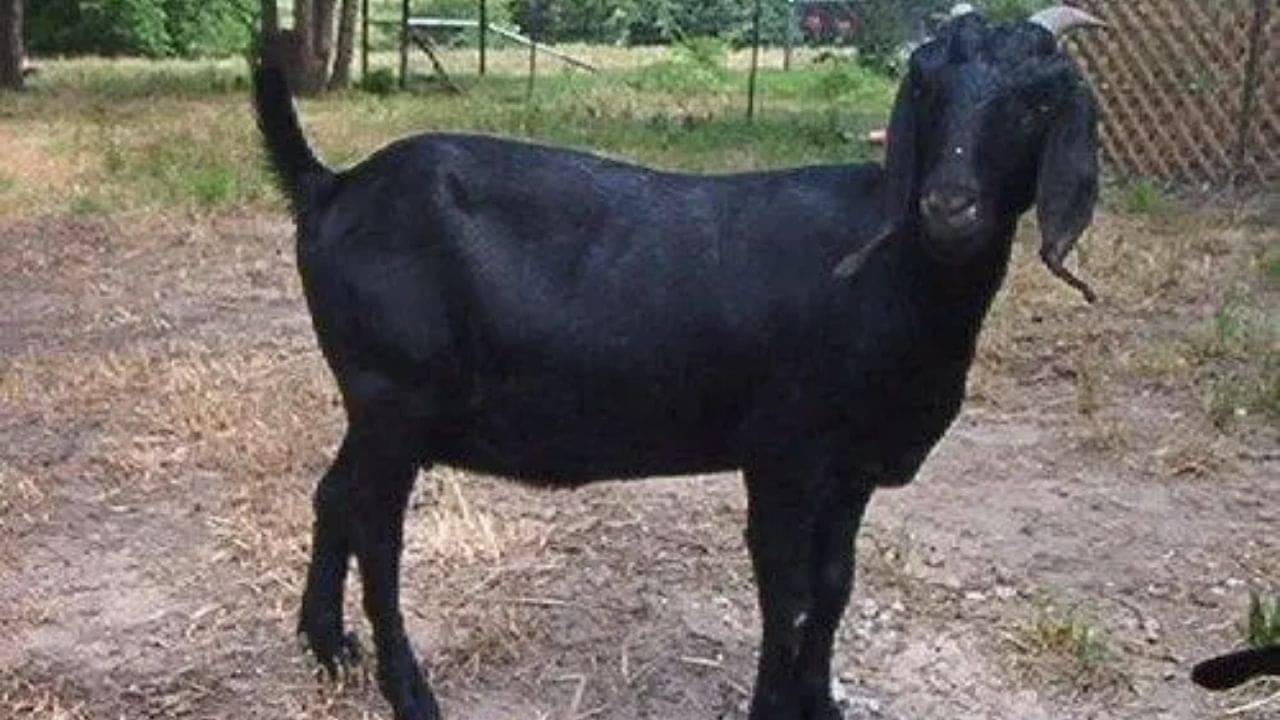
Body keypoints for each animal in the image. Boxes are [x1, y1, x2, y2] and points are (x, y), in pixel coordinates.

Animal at [252, 9, 1103, 720]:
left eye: (1036, 103)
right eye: (927, 91)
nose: (949, 205)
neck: (891, 275)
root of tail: (330, 187)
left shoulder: (851, 470)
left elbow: (833, 586)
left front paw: (820, 705)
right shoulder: (783, 454)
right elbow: (788, 592)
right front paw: (773, 709)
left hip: (377, 410)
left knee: (335, 495)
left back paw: (327, 646)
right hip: (395, 397)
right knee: (376, 532)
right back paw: (409, 693)